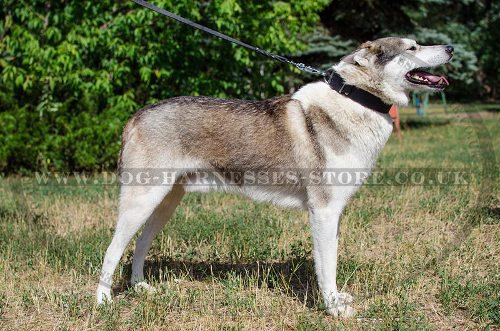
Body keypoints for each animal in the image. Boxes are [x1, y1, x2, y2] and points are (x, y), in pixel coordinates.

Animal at [95, 37, 452, 318]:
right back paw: (103, 303)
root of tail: (137, 115)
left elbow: (332, 262)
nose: (450, 47)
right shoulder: (323, 212)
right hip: (142, 202)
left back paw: (141, 288)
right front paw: (333, 310)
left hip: (166, 202)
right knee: (112, 250)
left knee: (139, 245)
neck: (354, 98)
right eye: (412, 47)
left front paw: (337, 300)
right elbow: (326, 267)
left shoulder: (335, 212)